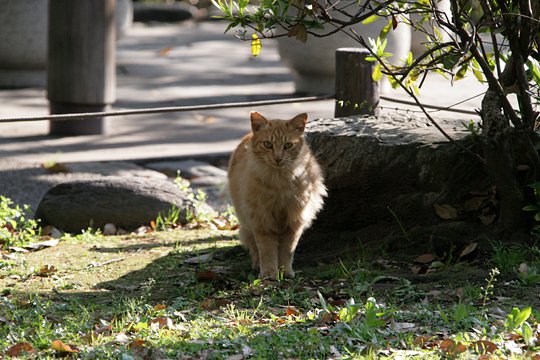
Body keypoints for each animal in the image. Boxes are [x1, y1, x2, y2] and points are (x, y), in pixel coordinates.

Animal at [227, 112, 324, 278]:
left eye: (288, 145)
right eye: (268, 144)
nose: (278, 158)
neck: (279, 184)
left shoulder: (294, 220)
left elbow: (287, 250)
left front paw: (285, 272)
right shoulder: (262, 220)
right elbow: (267, 251)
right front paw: (269, 274)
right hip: (247, 223)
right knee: (254, 248)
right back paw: (257, 265)